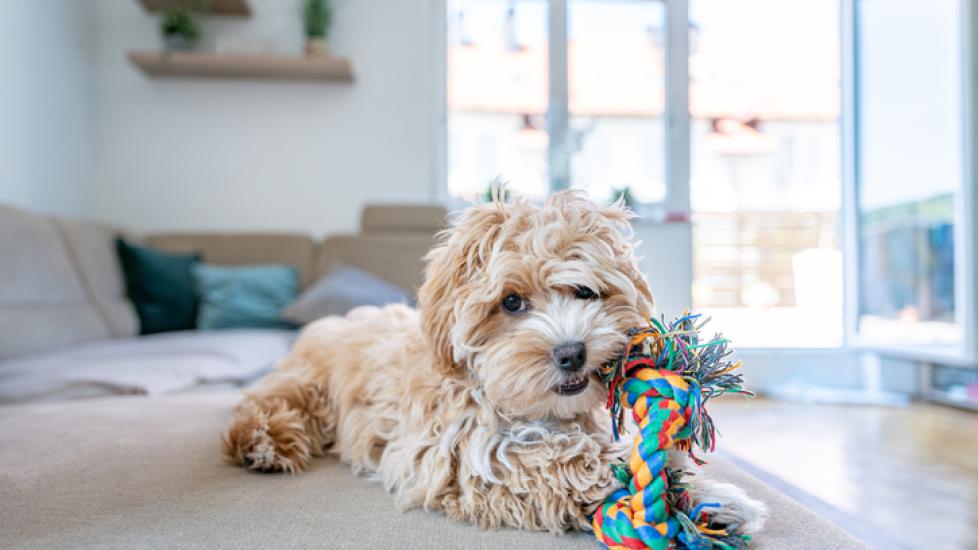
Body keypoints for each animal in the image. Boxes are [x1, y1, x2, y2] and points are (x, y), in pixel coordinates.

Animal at [221, 192, 764, 536]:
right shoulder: (456, 457)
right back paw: (264, 445)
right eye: (511, 303)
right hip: (307, 386)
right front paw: (639, 480)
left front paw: (714, 500)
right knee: (267, 407)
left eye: (584, 291)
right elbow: (562, 464)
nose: (571, 352)